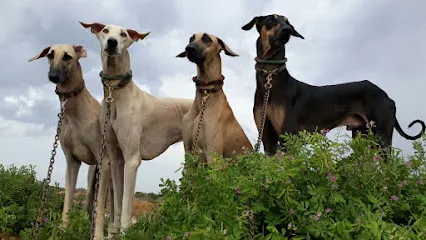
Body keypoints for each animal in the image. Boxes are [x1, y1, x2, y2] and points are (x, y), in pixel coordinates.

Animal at [28, 44, 113, 235]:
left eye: (68, 57)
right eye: (50, 55)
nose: (53, 76)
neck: (75, 112)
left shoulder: (103, 160)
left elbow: (100, 210)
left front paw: (98, 236)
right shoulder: (72, 161)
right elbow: (67, 201)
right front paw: (61, 230)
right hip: (92, 176)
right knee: (90, 206)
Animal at [78, 21, 193, 233]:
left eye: (124, 34)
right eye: (105, 30)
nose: (112, 42)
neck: (116, 95)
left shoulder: (132, 160)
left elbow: (125, 206)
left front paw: (124, 230)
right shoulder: (115, 159)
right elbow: (117, 203)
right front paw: (113, 231)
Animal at [241, 14, 424, 155]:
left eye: (288, 22)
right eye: (271, 20)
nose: (287, 30)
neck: (270, 78)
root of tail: (386, 96)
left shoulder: (288, 137)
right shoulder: (267, 139)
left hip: (382, 136)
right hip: (363, 135)